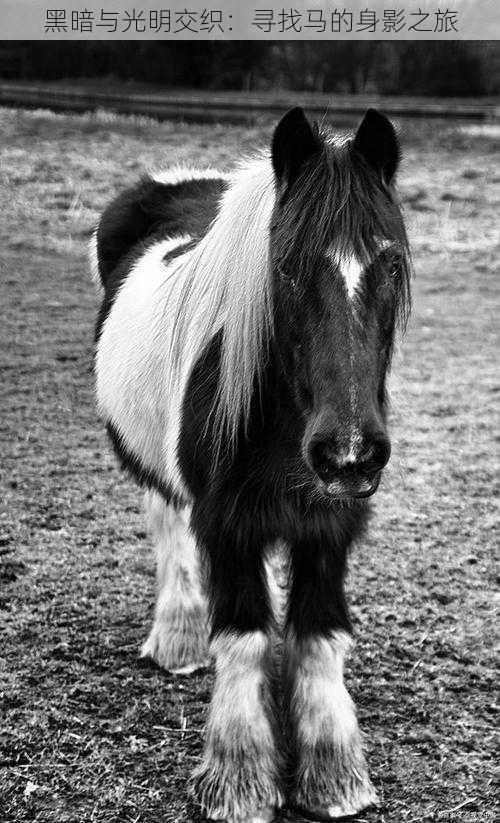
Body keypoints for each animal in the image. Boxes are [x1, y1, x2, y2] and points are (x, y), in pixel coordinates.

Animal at [93, 109, 410, 823]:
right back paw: (180, 640)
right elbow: (241, 635)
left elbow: (318, 634)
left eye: (392, 263)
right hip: (162, 475)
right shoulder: (228, 521)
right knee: (171, 531)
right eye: (286, 268)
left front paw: (334, 777)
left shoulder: (330, 523)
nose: (349, 451)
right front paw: (238, 781)